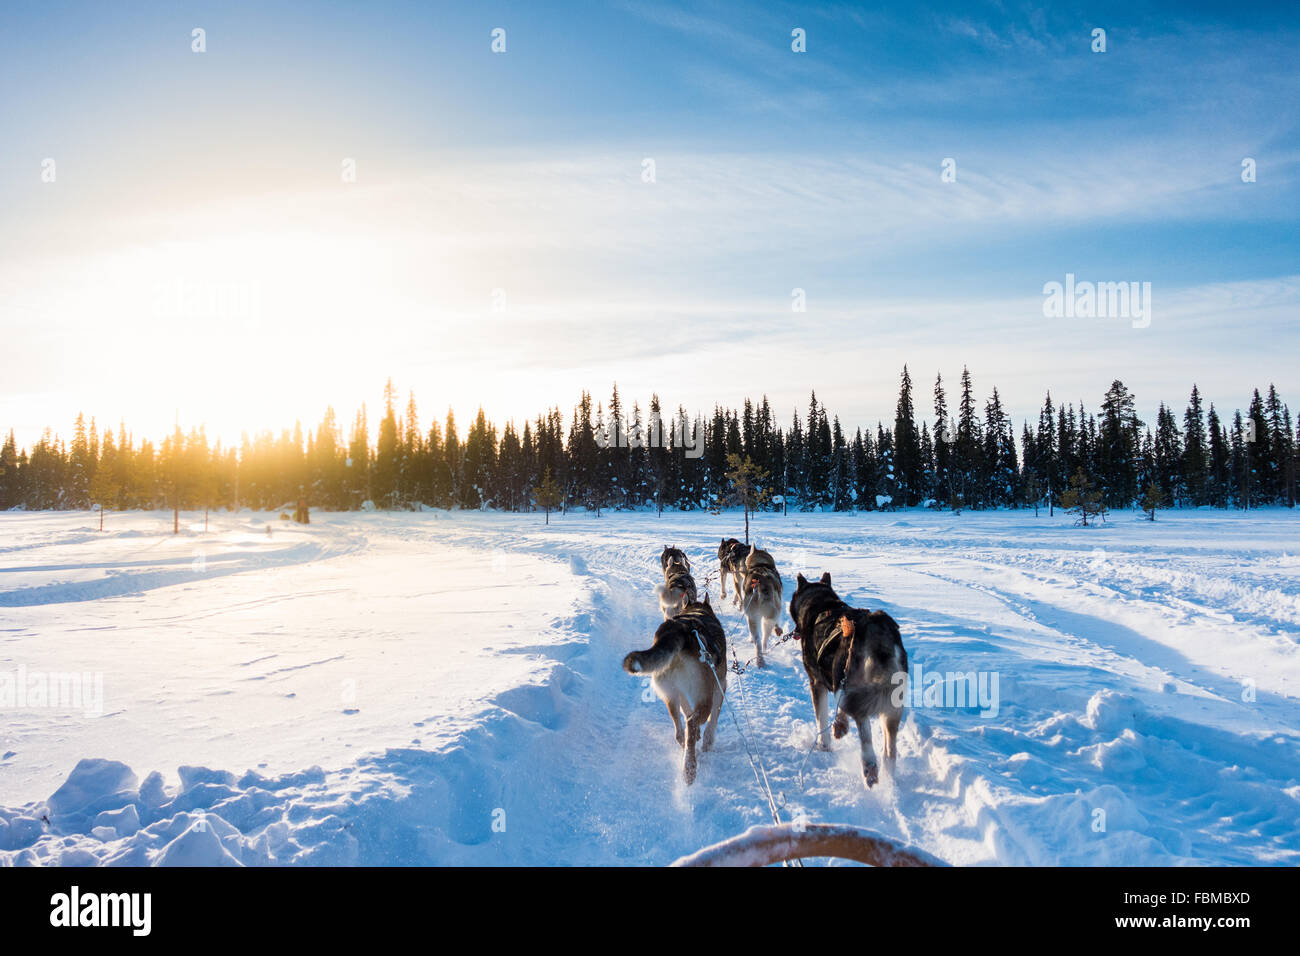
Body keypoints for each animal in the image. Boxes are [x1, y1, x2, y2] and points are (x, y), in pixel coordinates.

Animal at [621, 598, 728, 785]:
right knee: (691, 722)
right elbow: (712, 722)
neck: (697, 611)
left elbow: (687, 710)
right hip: (704, 698)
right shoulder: (720, 686)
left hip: (670, 694)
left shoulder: (680, 692)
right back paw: (689, 769)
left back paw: (686, 750)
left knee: (680, 730)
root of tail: (678, 629)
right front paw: (707, 742)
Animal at [785, 572, 909, 790]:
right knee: (889, 752)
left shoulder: (817, 682)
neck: (821, 605)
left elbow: (822, 717)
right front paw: (839, 726)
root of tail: (878, 629)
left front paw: (825, 743)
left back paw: (868, 765)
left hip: (852, 682)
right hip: (890, 705)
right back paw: (888, 779)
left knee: (864, 730)